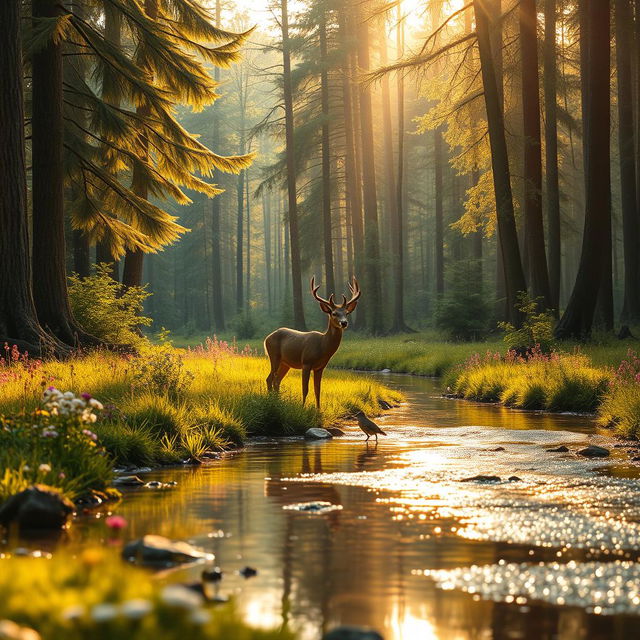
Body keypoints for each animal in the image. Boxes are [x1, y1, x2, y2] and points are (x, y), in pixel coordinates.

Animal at [264, 274, 360, 404]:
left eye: (346, 313)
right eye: (334, 313)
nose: (344, 323)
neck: (322, 346)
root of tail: (266, 338)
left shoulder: (320, 367)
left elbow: (317, 391)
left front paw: (318, 408)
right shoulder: (306, 363)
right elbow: (305, 389)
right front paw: (302, 406)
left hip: (285, 363)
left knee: (277, 380)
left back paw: (277, 400)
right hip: (274, 356)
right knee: (269, 378)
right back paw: (271, 401)